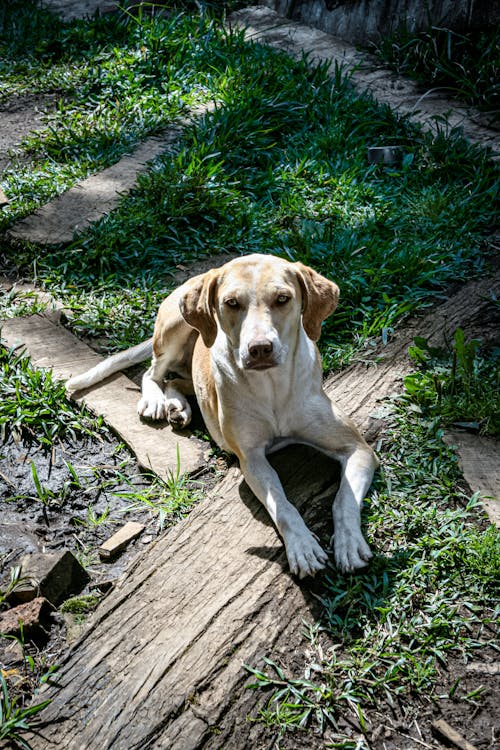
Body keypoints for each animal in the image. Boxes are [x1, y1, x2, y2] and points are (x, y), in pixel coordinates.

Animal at [66, 256, 378, 580]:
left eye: (283, 299)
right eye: (231, 303)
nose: (260, 348)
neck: (272, 387)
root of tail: (200, 276)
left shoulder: (358, 449)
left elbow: (344, 498)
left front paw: (349, 542)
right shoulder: (251, 459)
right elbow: (282, 506)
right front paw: (302, 547)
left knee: (176, 381)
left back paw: (177, 406)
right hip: (175, 328)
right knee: (153, 371)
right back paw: (156, 400)